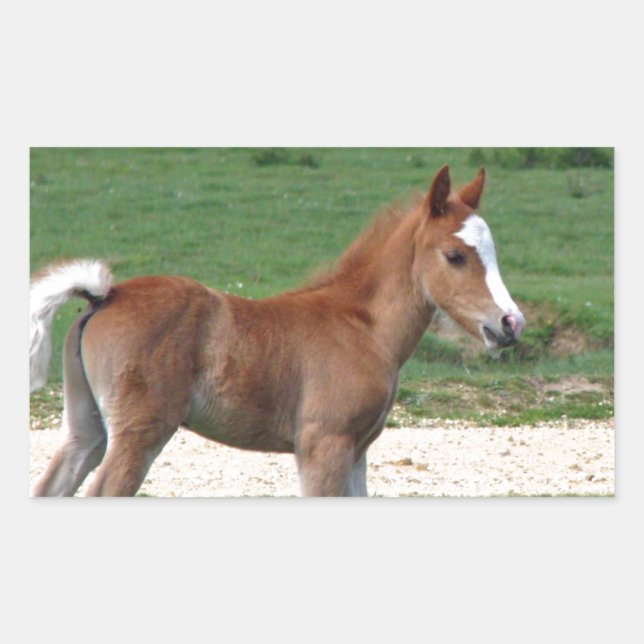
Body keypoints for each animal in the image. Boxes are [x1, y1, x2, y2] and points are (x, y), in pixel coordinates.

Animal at [29, 165, 525, 497]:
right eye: (456, 256)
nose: (511, 323)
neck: (362, 327)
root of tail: (104, 296)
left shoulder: (357, 451)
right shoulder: (324, 445)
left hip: (85, 429)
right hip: (139, 433)